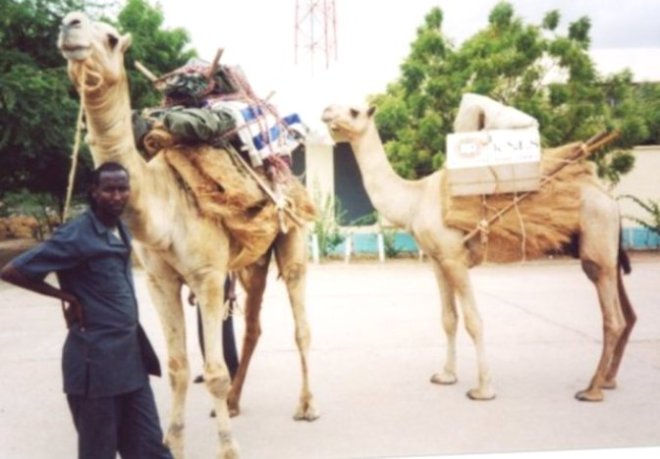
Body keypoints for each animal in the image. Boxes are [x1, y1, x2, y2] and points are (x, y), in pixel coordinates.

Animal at [57, 12, 319, 458]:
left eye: (110, 38)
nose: (68, 24)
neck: (160, 208)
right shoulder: (159, 279)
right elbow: (178, 367)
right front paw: (172, 442)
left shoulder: (208, 277)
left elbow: (212, 371)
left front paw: (228, 450)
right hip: (252, 260)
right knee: (252, 326)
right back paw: (233, 402)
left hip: (292, 236)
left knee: (300, 320)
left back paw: (307, 406)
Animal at [321, 104, 636, 402]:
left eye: (354, 111)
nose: (326, 112)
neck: (414, 199)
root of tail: (609, 199)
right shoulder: (438, 260)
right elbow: (449, 319)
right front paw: (445, 375)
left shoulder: (454, 258)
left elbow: (474, 321)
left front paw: (483, 389)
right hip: (608, 248)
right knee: (627, 314)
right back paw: (608, 380)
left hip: (597, 242)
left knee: (612, 318)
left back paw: (591, 390)